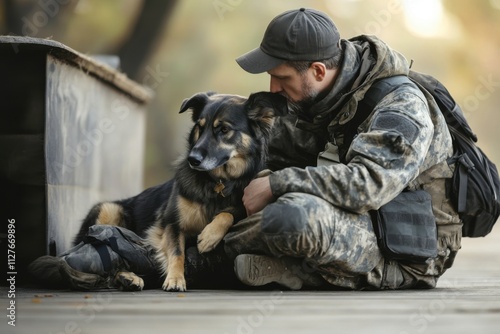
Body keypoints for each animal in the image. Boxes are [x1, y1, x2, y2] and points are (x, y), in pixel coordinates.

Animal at [72, 90, 288, 290]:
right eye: (200, 127)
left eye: (224, 129)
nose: (193, 159)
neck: (217, 182)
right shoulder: (172, 224)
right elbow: (177, 252)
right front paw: (175, 279)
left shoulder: (243, 202)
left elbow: (228, 213)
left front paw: (209, 236)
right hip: (109, 209)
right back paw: (127, 276)